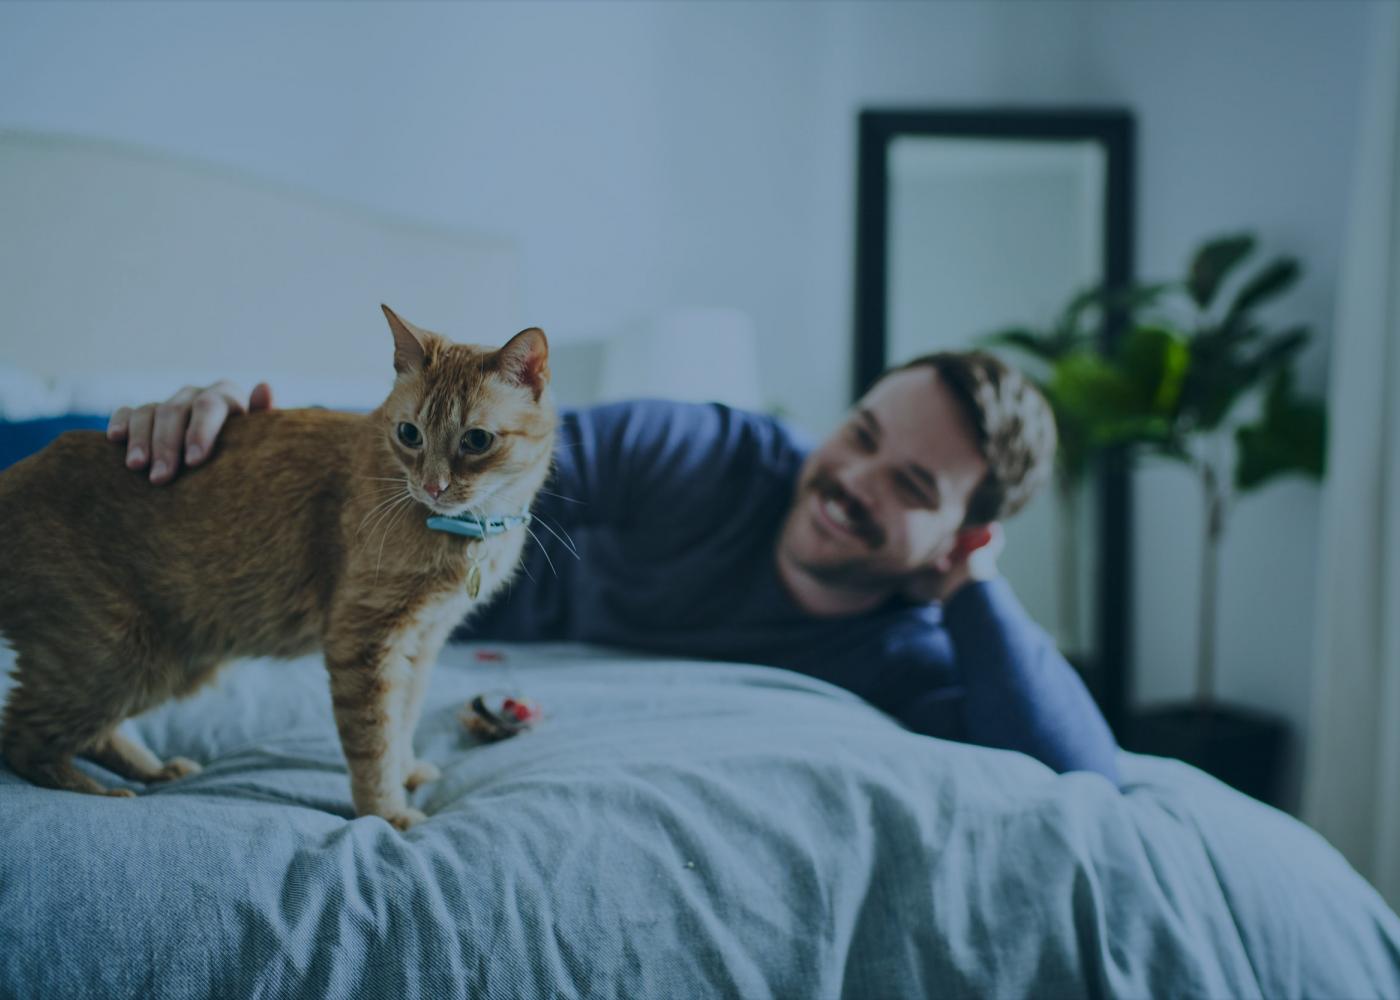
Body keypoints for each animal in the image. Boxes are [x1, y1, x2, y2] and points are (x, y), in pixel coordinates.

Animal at [0, 308, 554, 829]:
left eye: (476, 440)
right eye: (409, 434)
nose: (433, 487)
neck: (466, 529)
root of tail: (16, 475)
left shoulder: (422, 644)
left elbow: (404, 720)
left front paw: (407, 771)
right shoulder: (366, 642)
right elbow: (375, 742)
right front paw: (388, 811)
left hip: (162, 666)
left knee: (80, 735)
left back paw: (154, 770)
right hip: (113, 657)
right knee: (22, 738)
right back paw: (103, 792)